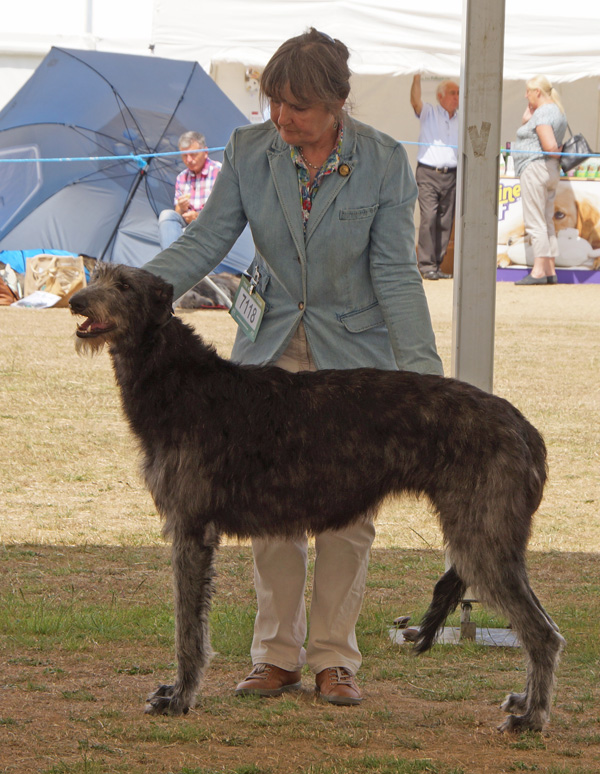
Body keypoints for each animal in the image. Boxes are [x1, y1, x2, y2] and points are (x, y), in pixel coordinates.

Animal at [69, 266, 564, 732]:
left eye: (125, 285)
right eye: (98, 274)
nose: (75, 302)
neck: (179, 381)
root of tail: (525, 428)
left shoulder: (190, 529)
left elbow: (188, 629)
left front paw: (180, 696)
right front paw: (178, 692)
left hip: (481, 539)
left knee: (543, 633)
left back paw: (531, 717)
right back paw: (525, 703)